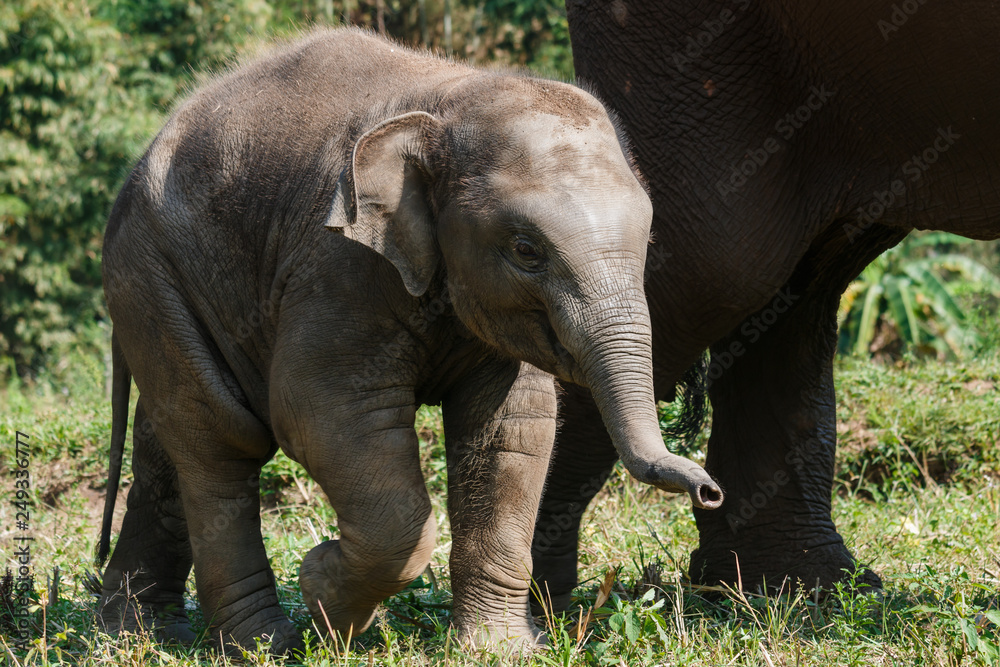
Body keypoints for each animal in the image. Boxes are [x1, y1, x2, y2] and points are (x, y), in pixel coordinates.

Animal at [95, 28, 723, 654]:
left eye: (647, 238)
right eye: (526, 250)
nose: (708, 489)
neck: (452, 99)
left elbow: (512, 429)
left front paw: (497, 650)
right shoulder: (335, 264)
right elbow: (321, 412)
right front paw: (323, 595)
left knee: (168, 444)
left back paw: (139, 630)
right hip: (150, 277)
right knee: (220, 440)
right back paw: (263, 644)